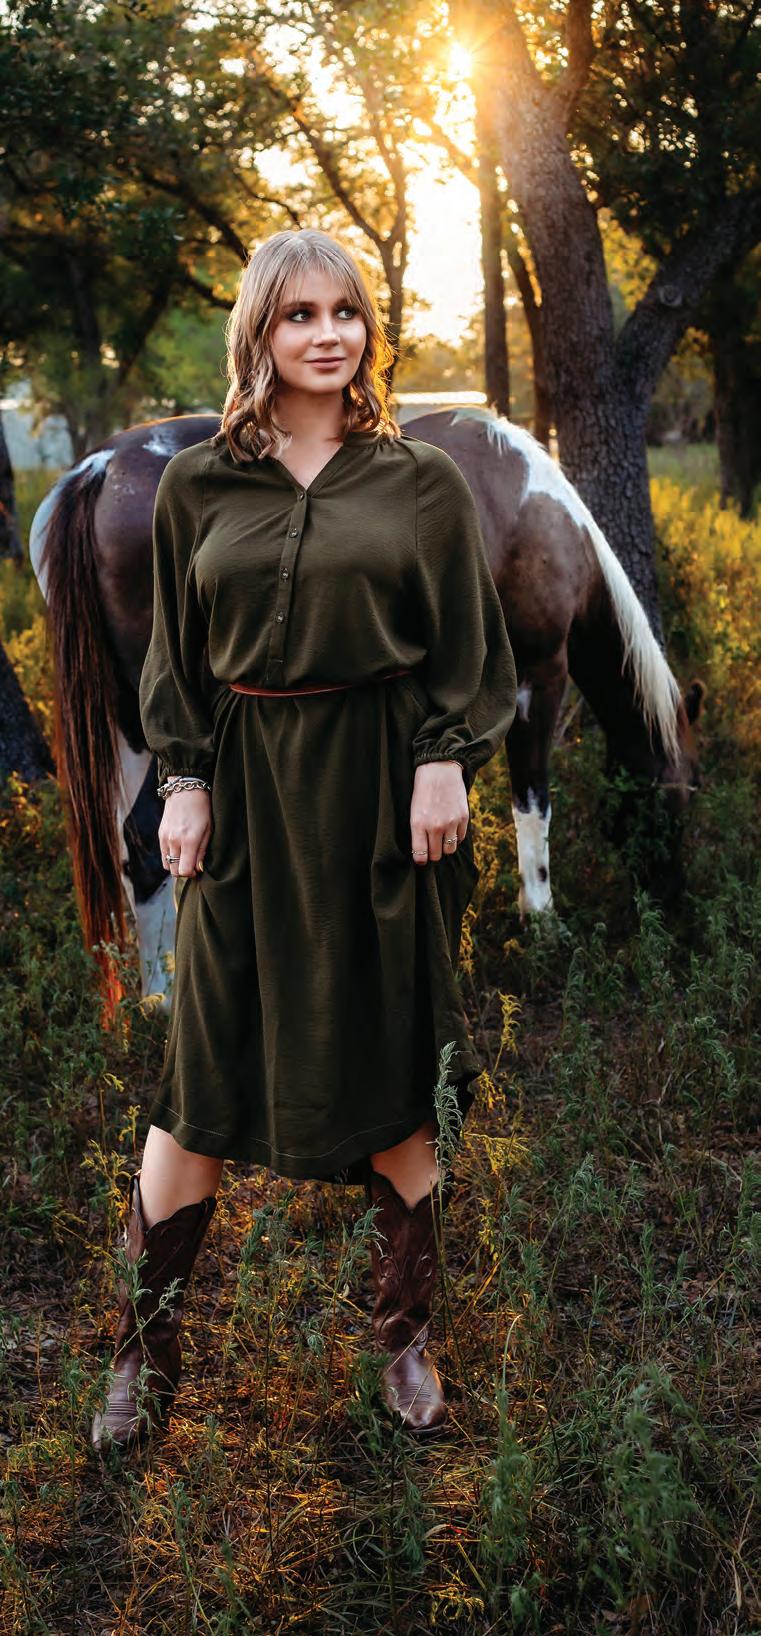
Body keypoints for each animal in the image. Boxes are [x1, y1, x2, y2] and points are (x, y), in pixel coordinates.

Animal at [29, 406, 702, 1019]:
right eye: (681, 795)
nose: (675, 902)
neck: (538, 509)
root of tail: (101, 467)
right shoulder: (539, 678)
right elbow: (531, 805)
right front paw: (541, 924)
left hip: (126, 724)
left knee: (130, 846)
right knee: (147, 840)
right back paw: (165, 999)